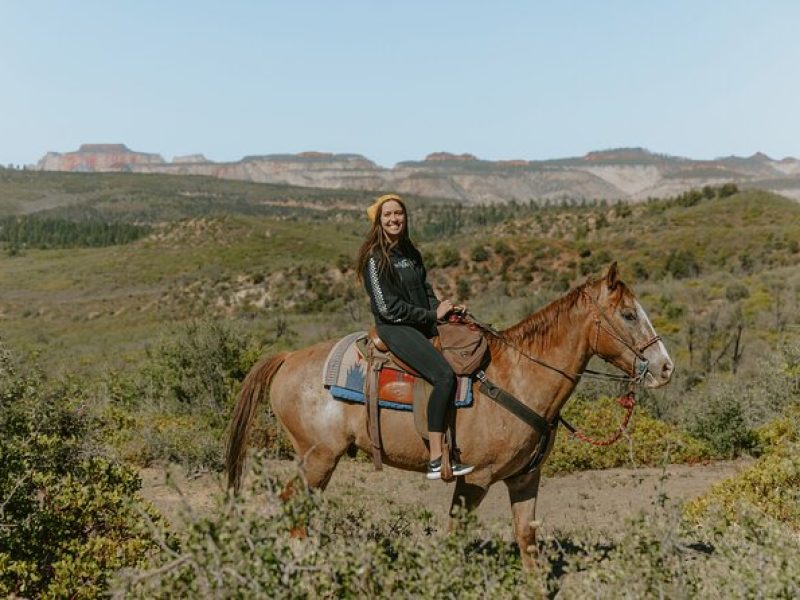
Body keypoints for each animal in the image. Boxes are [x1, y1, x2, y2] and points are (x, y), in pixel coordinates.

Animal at [228, 264, 672, 568]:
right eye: (629, 315)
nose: (665, 367)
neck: (519, 377)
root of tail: (287, 357)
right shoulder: (475, 479)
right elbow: (457, 537)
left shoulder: (525, 478)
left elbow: (526, 541)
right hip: (318, 458)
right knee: (293, 511)